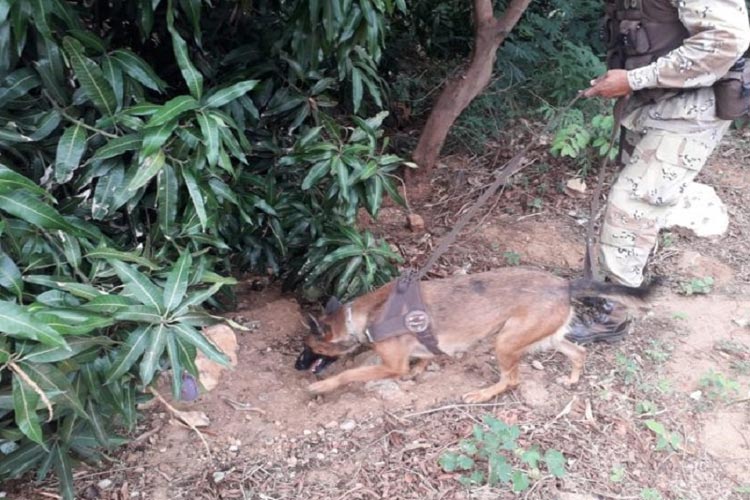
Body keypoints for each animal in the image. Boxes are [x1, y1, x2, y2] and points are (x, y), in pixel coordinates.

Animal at [296, 268, 652, 404]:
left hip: (505, 342)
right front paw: (418, 371)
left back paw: (481, 395)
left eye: (308, 346)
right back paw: (573, 379)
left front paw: (321, 386)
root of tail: (564, 285)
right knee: (579, 352)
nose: (296, 366)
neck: (360, 318)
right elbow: (422, 359)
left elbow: (350, 374)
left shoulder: (389, 364)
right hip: (546, 337)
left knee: (512, 380)